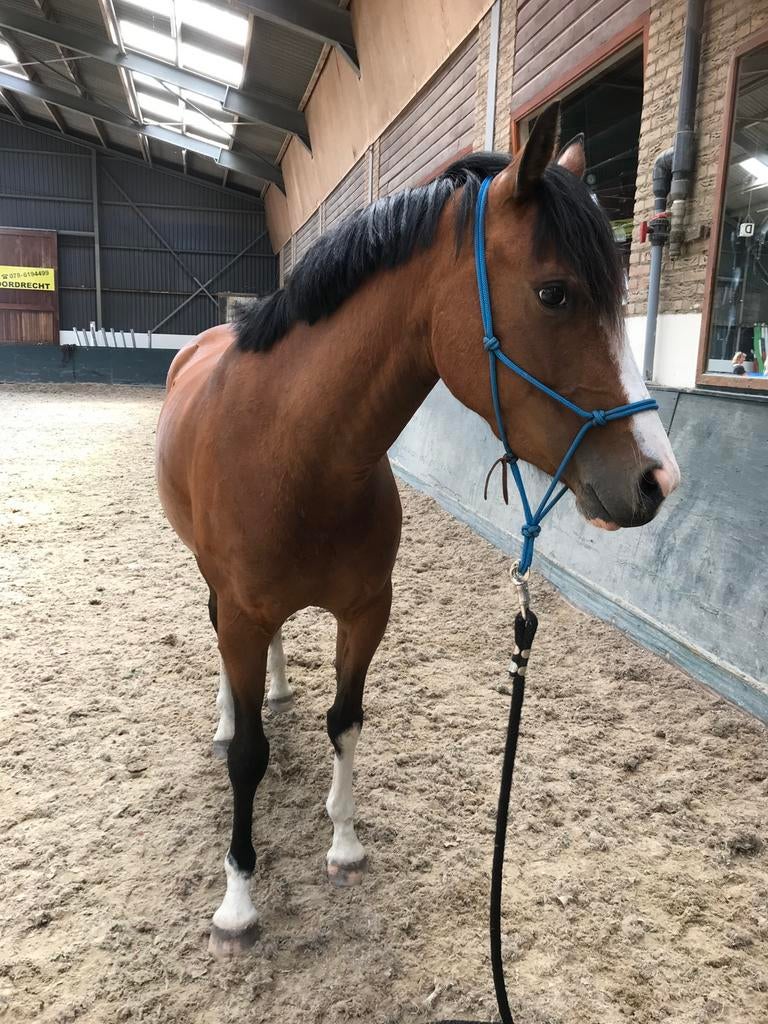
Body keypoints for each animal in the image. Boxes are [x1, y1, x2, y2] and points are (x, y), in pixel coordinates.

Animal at [156, 104, 680, 959]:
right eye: (555, 293)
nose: (656, 479)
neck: (294, 452)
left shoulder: (368, 610)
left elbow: (345, 722)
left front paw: (343, 843)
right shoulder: (240, 609)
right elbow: (249, 760)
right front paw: (237, 898)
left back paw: (274, 687)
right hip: (215, 588)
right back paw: (230, 713)